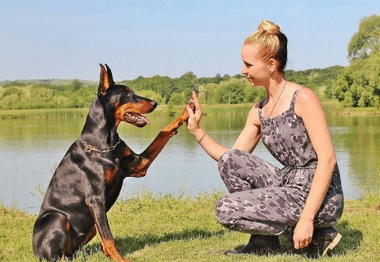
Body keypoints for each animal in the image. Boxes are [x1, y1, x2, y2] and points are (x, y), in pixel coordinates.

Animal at [32, 64, 193, 262]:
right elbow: (108, 237)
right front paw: (121, 259)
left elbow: (162, 132)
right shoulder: (95, 199)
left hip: (89, 228)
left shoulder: (138, 166)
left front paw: (185, 113)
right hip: (57, 218)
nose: (155, 103)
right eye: (127, 93)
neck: (106, 143)